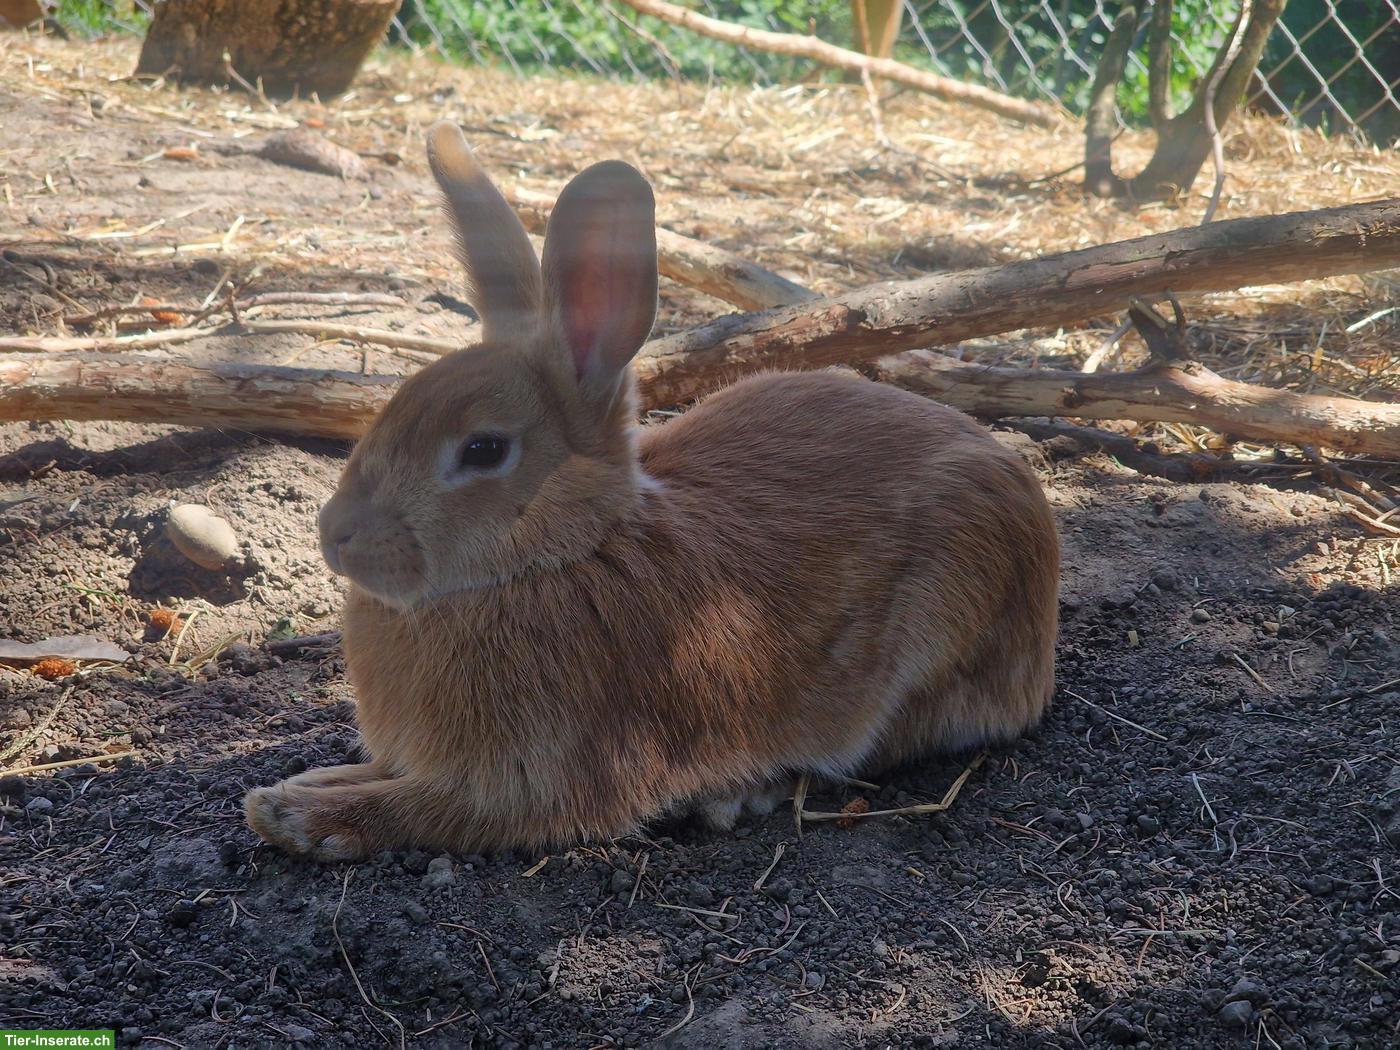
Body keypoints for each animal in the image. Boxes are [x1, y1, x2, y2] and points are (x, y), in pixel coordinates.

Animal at [244, 121, 1059, 861]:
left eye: (483, 450)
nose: (335, 535)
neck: (565, 553)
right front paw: (307, 785)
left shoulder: (532, 781)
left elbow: (428, 811)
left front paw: (294, 815)